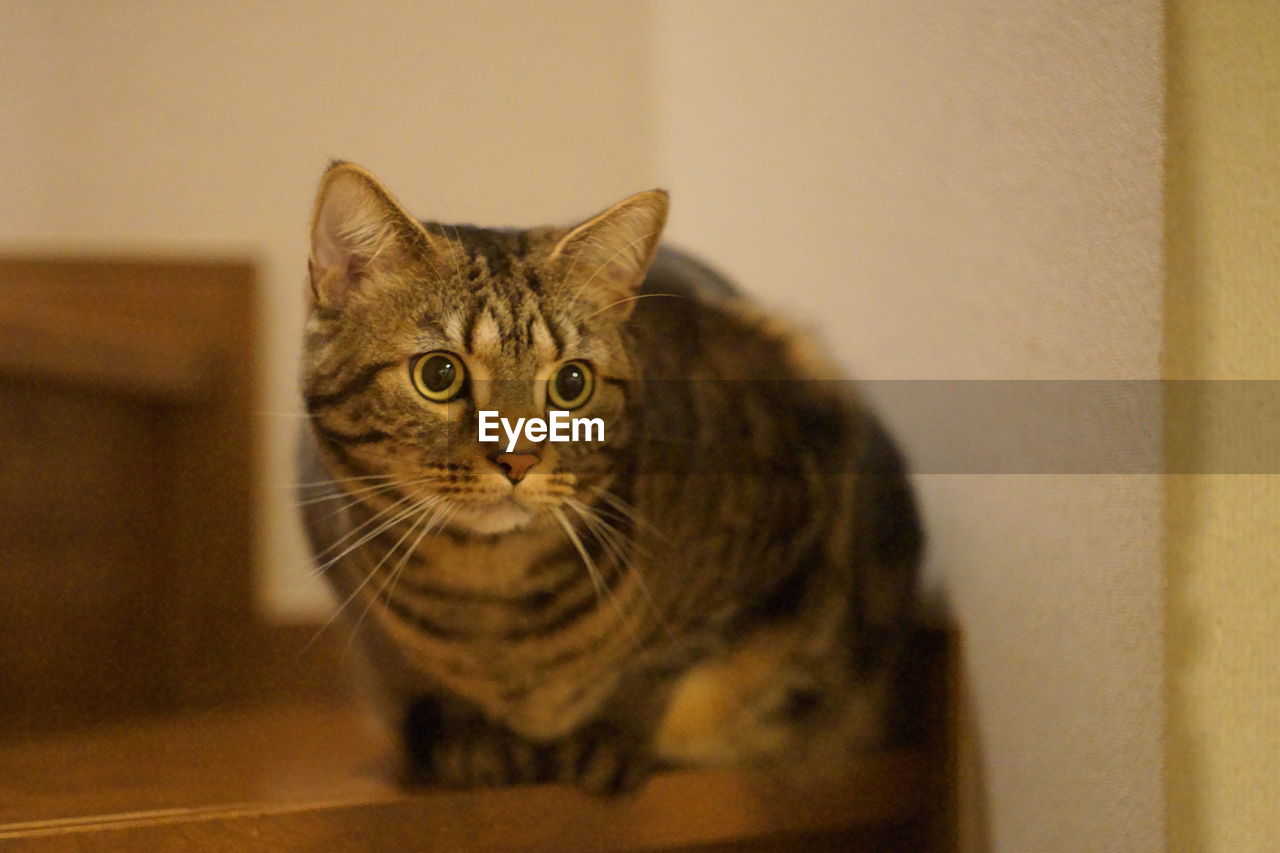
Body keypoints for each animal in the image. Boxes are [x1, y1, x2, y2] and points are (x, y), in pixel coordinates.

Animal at [296, 161, 921, 788]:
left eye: (571, 384)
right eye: (438, 374)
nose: (518, 459)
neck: (490, 595)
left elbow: (666, 663)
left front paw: (610, 737)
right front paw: (469, 738)